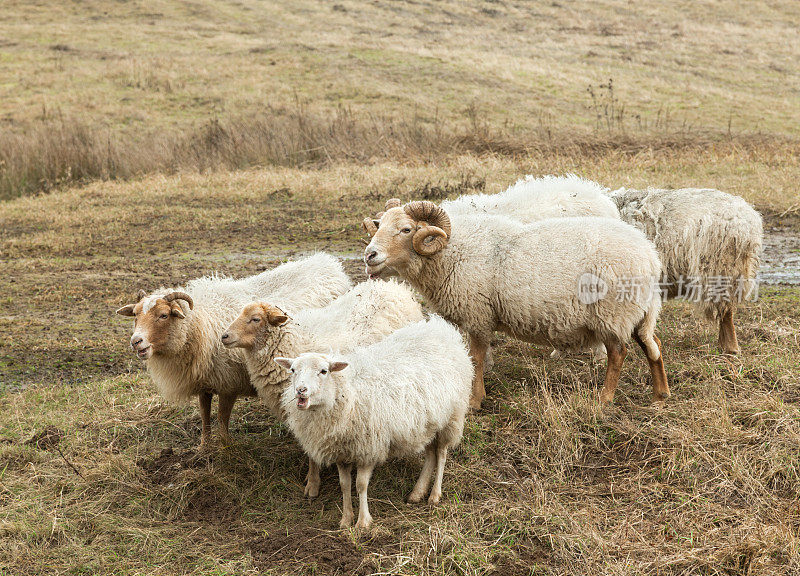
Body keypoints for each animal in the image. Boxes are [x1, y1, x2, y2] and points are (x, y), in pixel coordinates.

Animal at [115, 253, 350, 450]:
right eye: (135, 314)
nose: (136, 342)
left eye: (163, 315)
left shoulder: (228, 383)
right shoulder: (204, 384)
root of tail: (327, 262)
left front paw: (225, 446)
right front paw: (203, 447)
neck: (200, 325)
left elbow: (222, 416)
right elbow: (204, 415)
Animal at [276, 316, 476, 532]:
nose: (301, 390)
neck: (347, 392)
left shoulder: (367, 449)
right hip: (428, 422)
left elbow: (361, 485)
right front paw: (346, 520)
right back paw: (417, 492)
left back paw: (434, 495)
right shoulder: (341, 451)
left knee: (441, 454)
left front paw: (363, 522)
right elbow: (344, 485)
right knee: (431, 453)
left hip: (451, 417)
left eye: (323, 371)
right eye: (293, 370)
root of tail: (441, 328)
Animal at [362, 202, 668, 410]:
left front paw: (475, 401)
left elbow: (476, 359)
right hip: (637, 311)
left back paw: (604, 400)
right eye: (380, 225)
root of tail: (650, 258)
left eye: (406, 229)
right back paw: (659, 395)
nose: (369, 256)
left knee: (619, 352)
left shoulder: (478, 315)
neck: (450, 251)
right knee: (652, 345)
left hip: (612, 312)